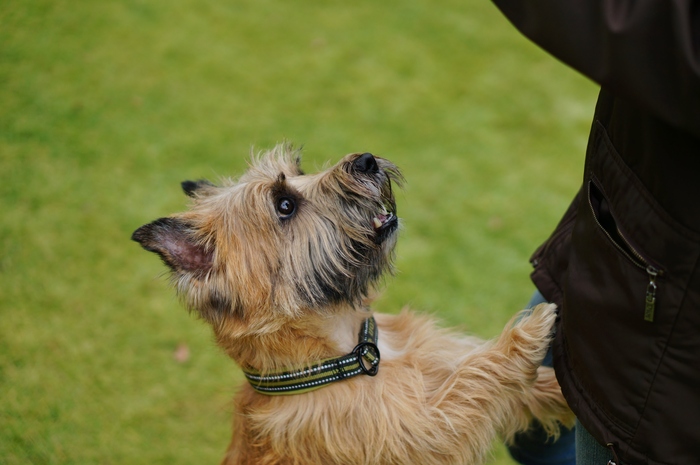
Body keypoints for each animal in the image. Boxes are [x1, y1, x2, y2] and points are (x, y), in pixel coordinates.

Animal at [131, 143, 576, 462]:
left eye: (300, 170)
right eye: (284, 205)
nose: (366, 160)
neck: (357, 352)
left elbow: (516, 384)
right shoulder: (428, 431)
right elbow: (473, 380)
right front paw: (530, 332)